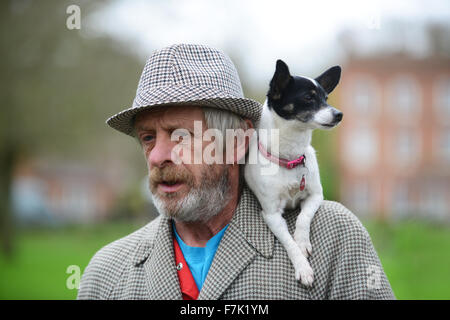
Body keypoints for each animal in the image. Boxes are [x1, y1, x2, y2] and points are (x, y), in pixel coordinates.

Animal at [246, 61, 342, 286]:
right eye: (308, 97)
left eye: (326, 98)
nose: (339, 114)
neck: (289, 159)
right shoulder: (271, 215)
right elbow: (288, 242)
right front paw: (303, 267)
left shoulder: (315, 195)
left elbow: (303, 218)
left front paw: (302, 241)